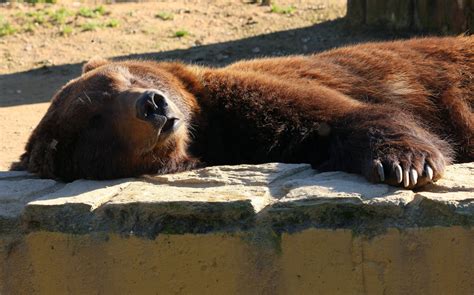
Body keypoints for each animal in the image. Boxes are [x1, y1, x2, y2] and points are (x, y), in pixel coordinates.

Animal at [12, 36, 474, 190]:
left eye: (124, 76)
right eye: (94, 119)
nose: (152, 104)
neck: (207, 133)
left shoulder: (248, 99)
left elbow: (349, 115)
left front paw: (405, 164)